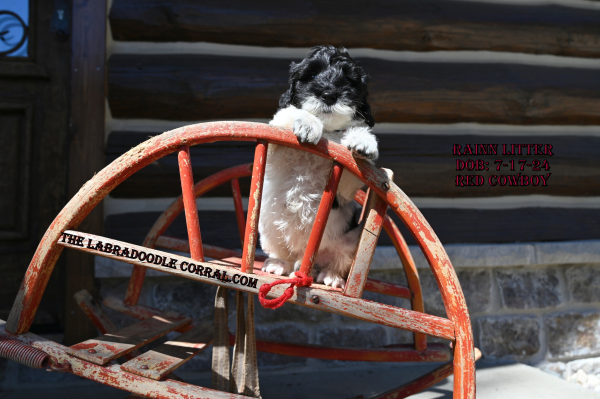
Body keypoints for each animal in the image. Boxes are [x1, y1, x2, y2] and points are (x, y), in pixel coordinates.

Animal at [258, 45, 380, 290]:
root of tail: (304, 258)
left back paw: (331, 276)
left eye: (347, 80)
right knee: (282, 251)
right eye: (312, 75)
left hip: (351, 240)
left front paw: (363, 141)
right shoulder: (277, 142)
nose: (329, 94)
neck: (328, 131)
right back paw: (279, 263)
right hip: (269, 227)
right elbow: (291, 112)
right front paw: (308, 123)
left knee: (338, 261)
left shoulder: (347, 181)